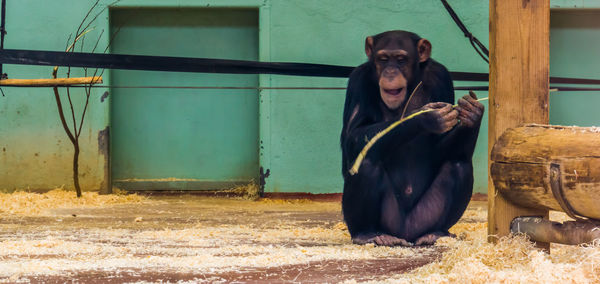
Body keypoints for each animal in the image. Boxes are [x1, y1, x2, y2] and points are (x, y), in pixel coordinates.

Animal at [342, 30, 482, 245]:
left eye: (401, 60)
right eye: (383, 59)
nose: (390, 72)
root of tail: (406, 234)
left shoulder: (441, 76)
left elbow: (440, 148)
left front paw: (472, 115)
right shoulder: (358, 80)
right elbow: (351, 138)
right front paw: (425, 117)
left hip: (424, 217)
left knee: (459, 164)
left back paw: (436, 233)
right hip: (390, 221)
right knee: (366, 162)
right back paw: (367, 234)